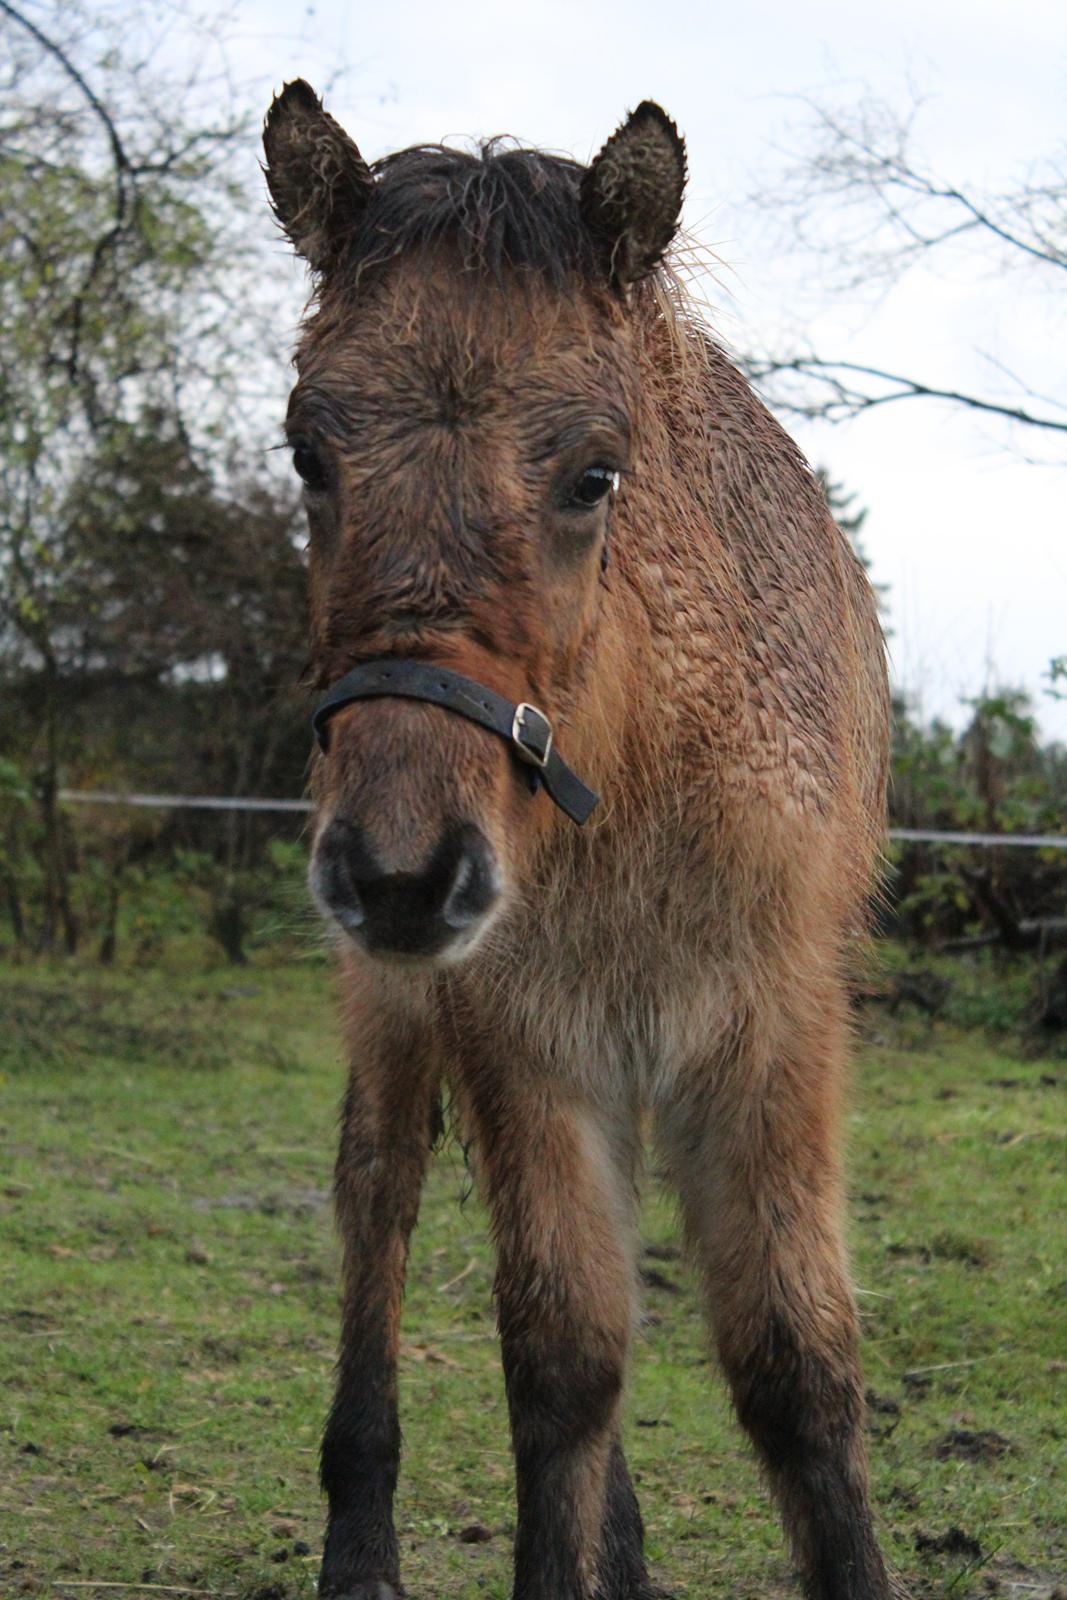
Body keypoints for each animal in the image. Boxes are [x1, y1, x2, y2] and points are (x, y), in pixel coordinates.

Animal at [262, 84, 895, 1600]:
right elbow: (562, 1361)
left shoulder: (770, 1029)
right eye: (308, 453)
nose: (402, 872)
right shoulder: (525, 1040)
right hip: (397, 1003)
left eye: (592, 474)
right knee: (377, 1187)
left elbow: (795, 1368)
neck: (645, 790)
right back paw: (359, 1545)